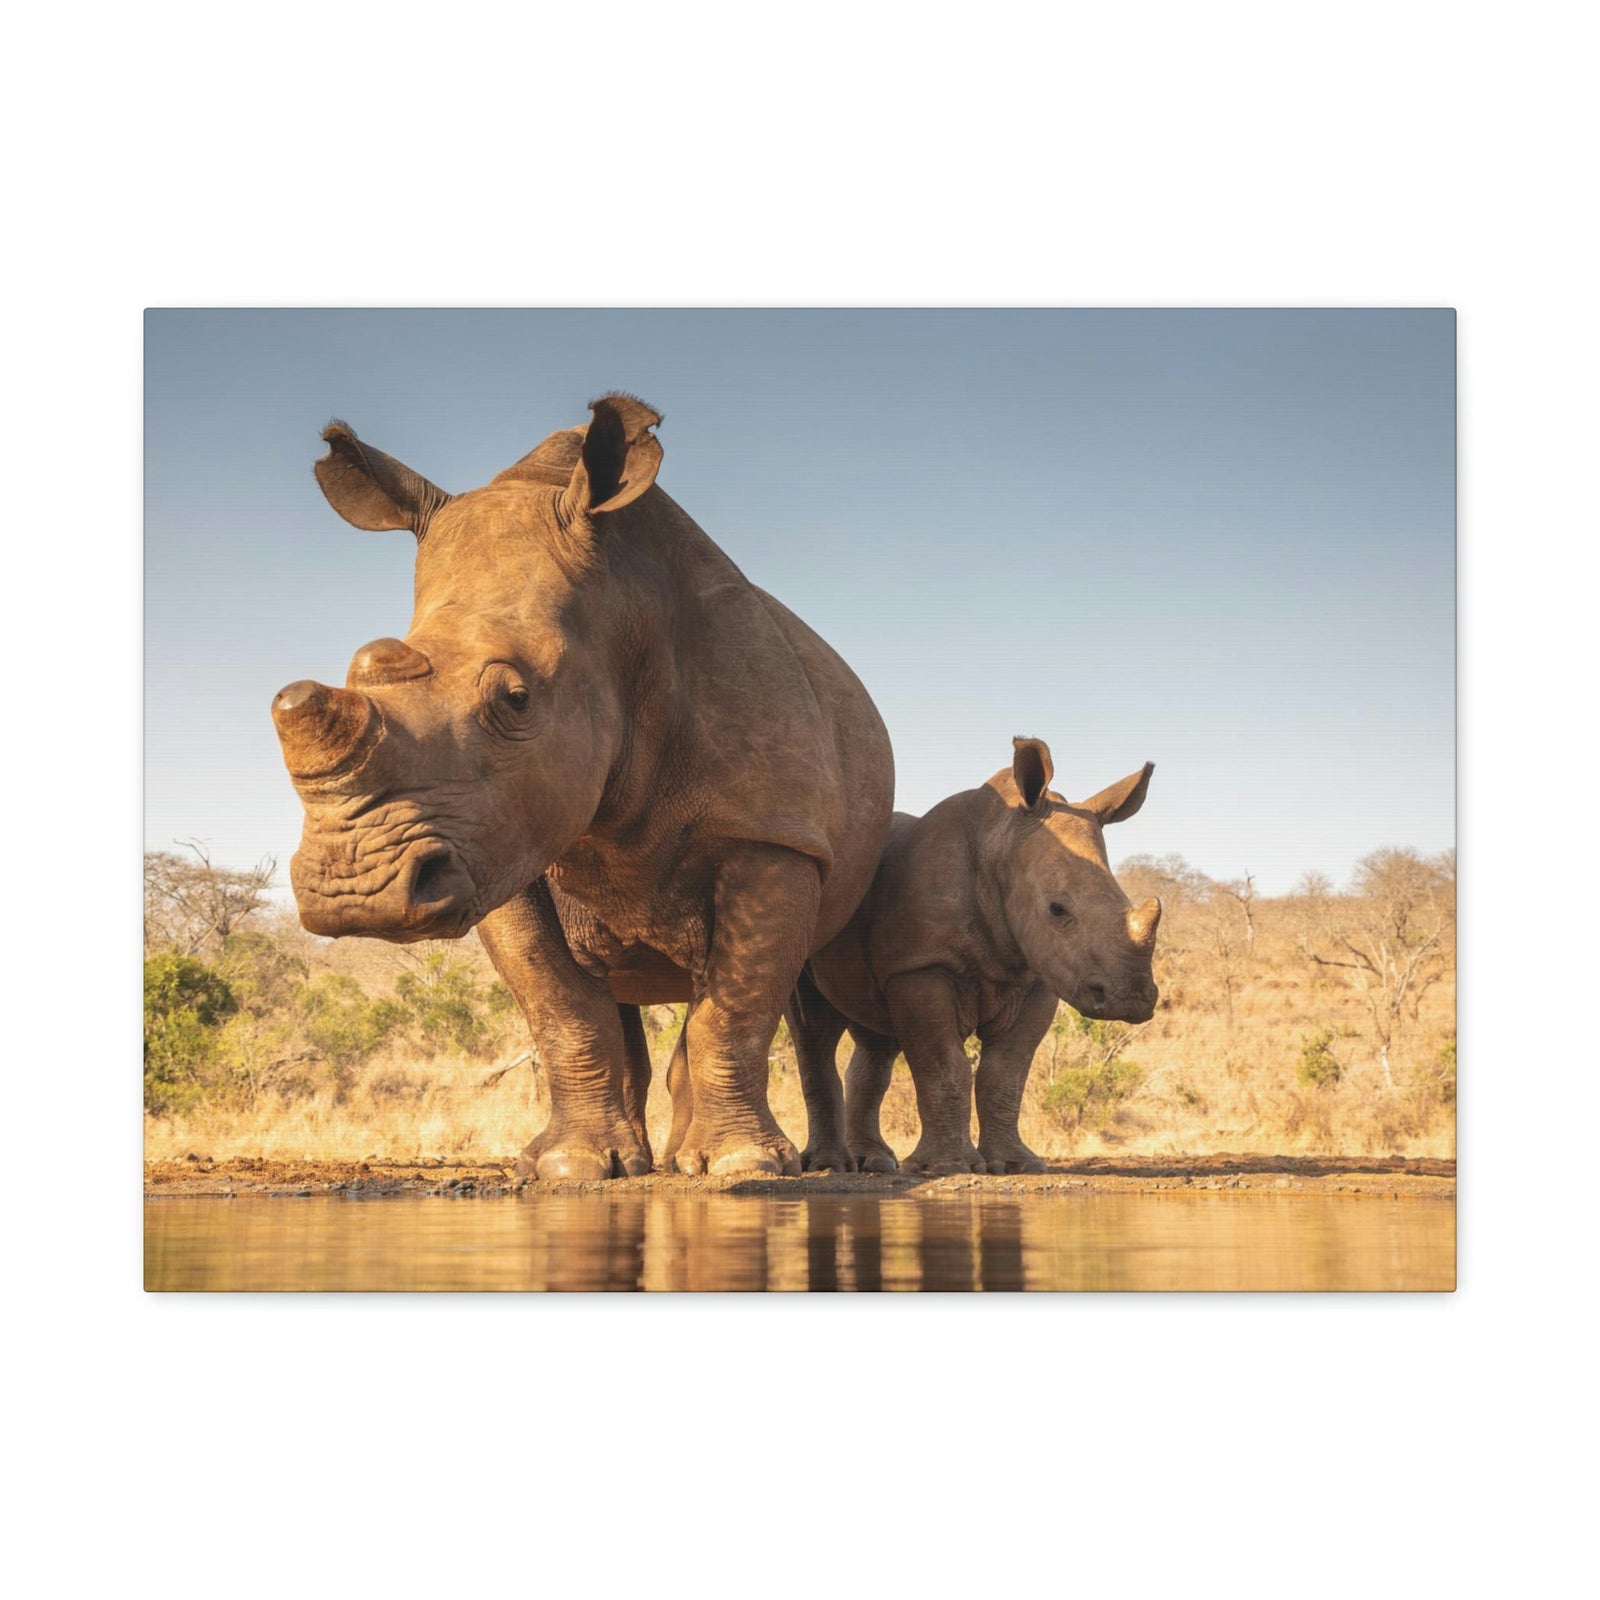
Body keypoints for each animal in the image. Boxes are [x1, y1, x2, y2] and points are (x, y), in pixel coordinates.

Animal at [271, 394, 894, 1179]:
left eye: (515, 699)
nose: (355, 891)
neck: (622, 610)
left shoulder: (773, 835)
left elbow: (736, 1009)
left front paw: (740, 1167)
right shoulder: (496, 844)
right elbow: (561, 1008)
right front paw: (569, 1167)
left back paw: (764, 1165)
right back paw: (644, 1162)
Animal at [784, 737, 1160, 1175]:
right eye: (1057, 910)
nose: (1131, 999)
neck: (999, 842)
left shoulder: (1036, 976)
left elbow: (1006, 1072)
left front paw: (1016, 1165)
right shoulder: (921, 966)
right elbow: (944, 1066)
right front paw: (946, 1167)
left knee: (874, 1037)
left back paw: (874, 1162)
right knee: (814, 1030)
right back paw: (829, 1166)